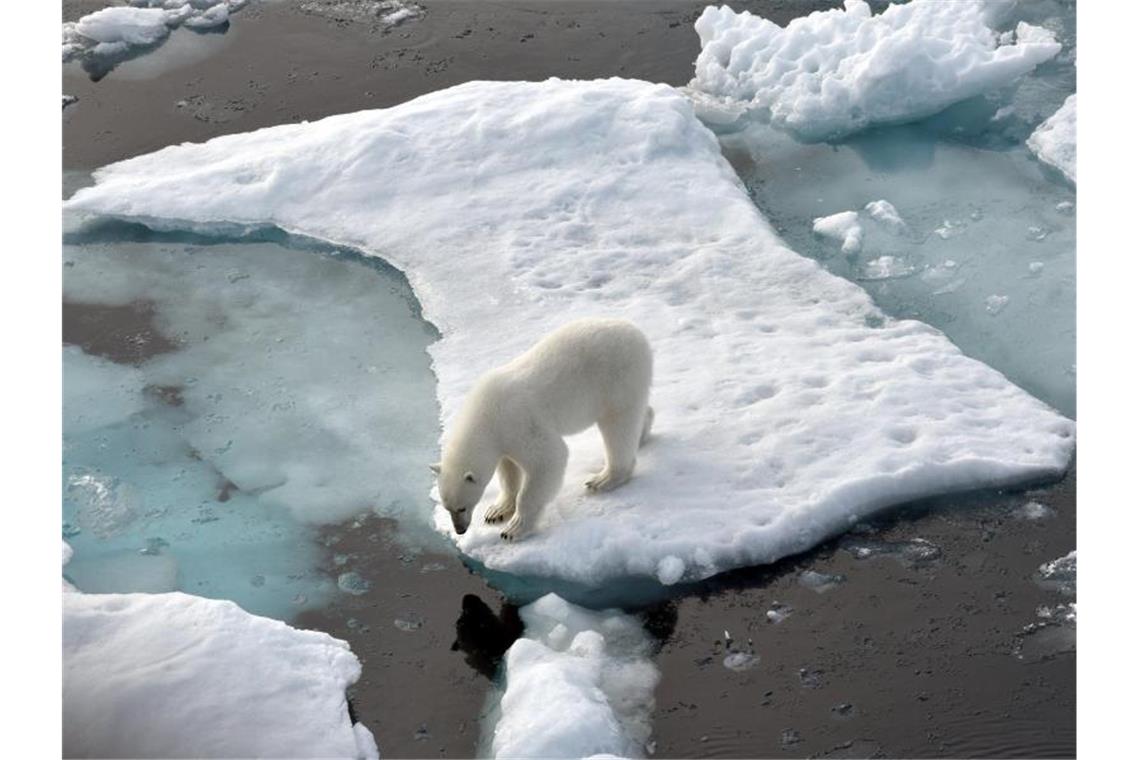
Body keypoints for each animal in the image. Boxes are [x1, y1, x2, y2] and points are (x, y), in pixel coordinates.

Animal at [430, 319, 656, 544]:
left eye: (462, 507)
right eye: (447, 507)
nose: (460, 530)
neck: (485, 413)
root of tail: (637, 333)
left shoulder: (519, 421)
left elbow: (548, 459)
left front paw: (513, 529)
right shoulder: (503, 438)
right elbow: (508, 469)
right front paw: (496, 511)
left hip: (617, 377)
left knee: (618, 426)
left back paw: (604, 479)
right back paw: (642, 434)